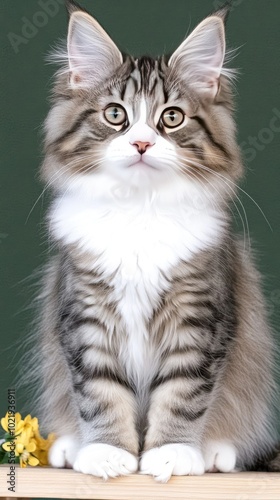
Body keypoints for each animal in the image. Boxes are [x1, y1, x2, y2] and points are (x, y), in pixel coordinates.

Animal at [29, 0, 278, 480]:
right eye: (115, 115)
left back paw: (215, 452)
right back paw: (69, 447)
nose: (142, 143)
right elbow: (100, 392)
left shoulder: (199, 318)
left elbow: (183, 393)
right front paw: (109, 452)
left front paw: (171, 452)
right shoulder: (84, 315)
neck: (139, 209)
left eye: (171, 118)